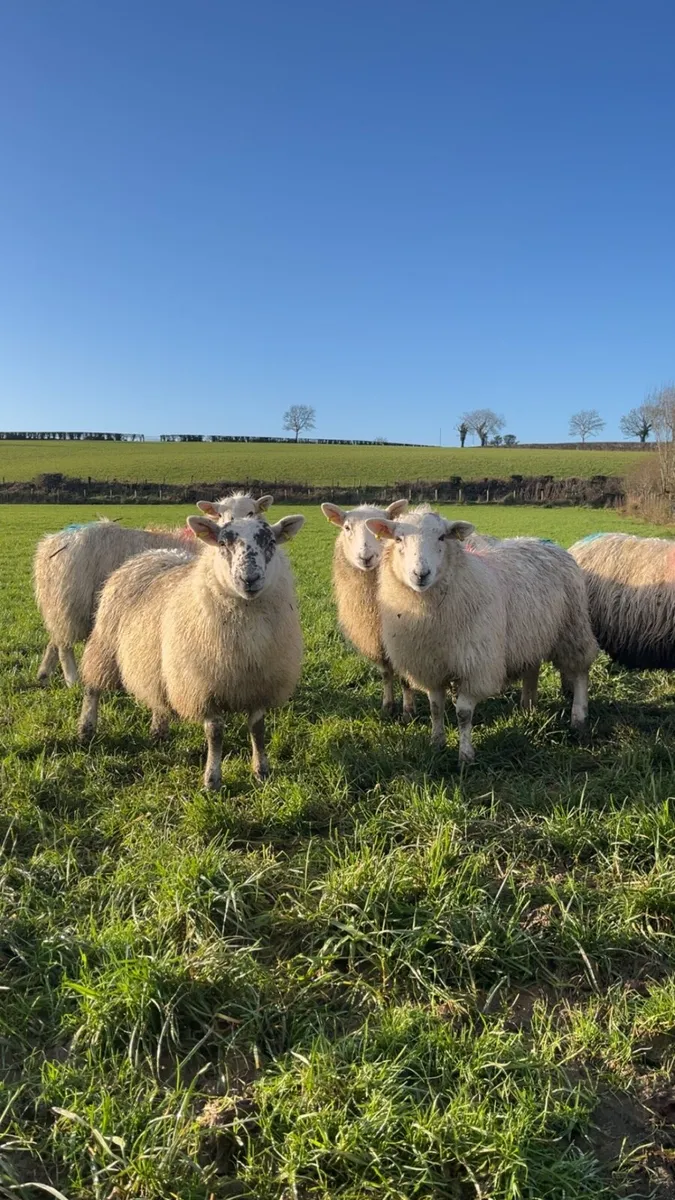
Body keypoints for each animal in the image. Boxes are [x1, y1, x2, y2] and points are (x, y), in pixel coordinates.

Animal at [33, 492, 267, 687]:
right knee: (64, 645)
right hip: (71, 603)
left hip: (58, 603)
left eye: (251, 512)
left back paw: (44, 672)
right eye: (219, 513)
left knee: (56, 637)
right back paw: (72, 680)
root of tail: (50, 544)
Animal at [77, 512, 305, 788]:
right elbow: (215, 733)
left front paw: (261, 771)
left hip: (157, 660)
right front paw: (212, 780)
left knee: (157, 693)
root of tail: (149, 554)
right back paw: (86, 729)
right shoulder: (202, 686)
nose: (249, 579)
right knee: (93, 686)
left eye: (270, 541)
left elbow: (258, 730)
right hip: (106, 644)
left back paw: (159, 730)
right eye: (222, 543)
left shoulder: (260, 685)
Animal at [320, 499, 416, 720]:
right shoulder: (376, 637)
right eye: (347, 528)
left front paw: (408, 711)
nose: (366, 557)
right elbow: (386, 673)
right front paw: (388, 707)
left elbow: (405, 678)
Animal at [365, 507, 597, 762]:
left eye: (442, 537)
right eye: (398, 539)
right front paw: (437, 744)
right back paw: (528, 707)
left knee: (580, 671)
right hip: (531, 634)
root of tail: (546, 543)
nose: (421, 574)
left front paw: (465, 756)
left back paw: (579, 717)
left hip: (573, 628)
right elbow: (436, 708)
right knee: (532, 667)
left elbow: (463, 713)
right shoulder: (430, 665)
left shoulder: (476, 664)